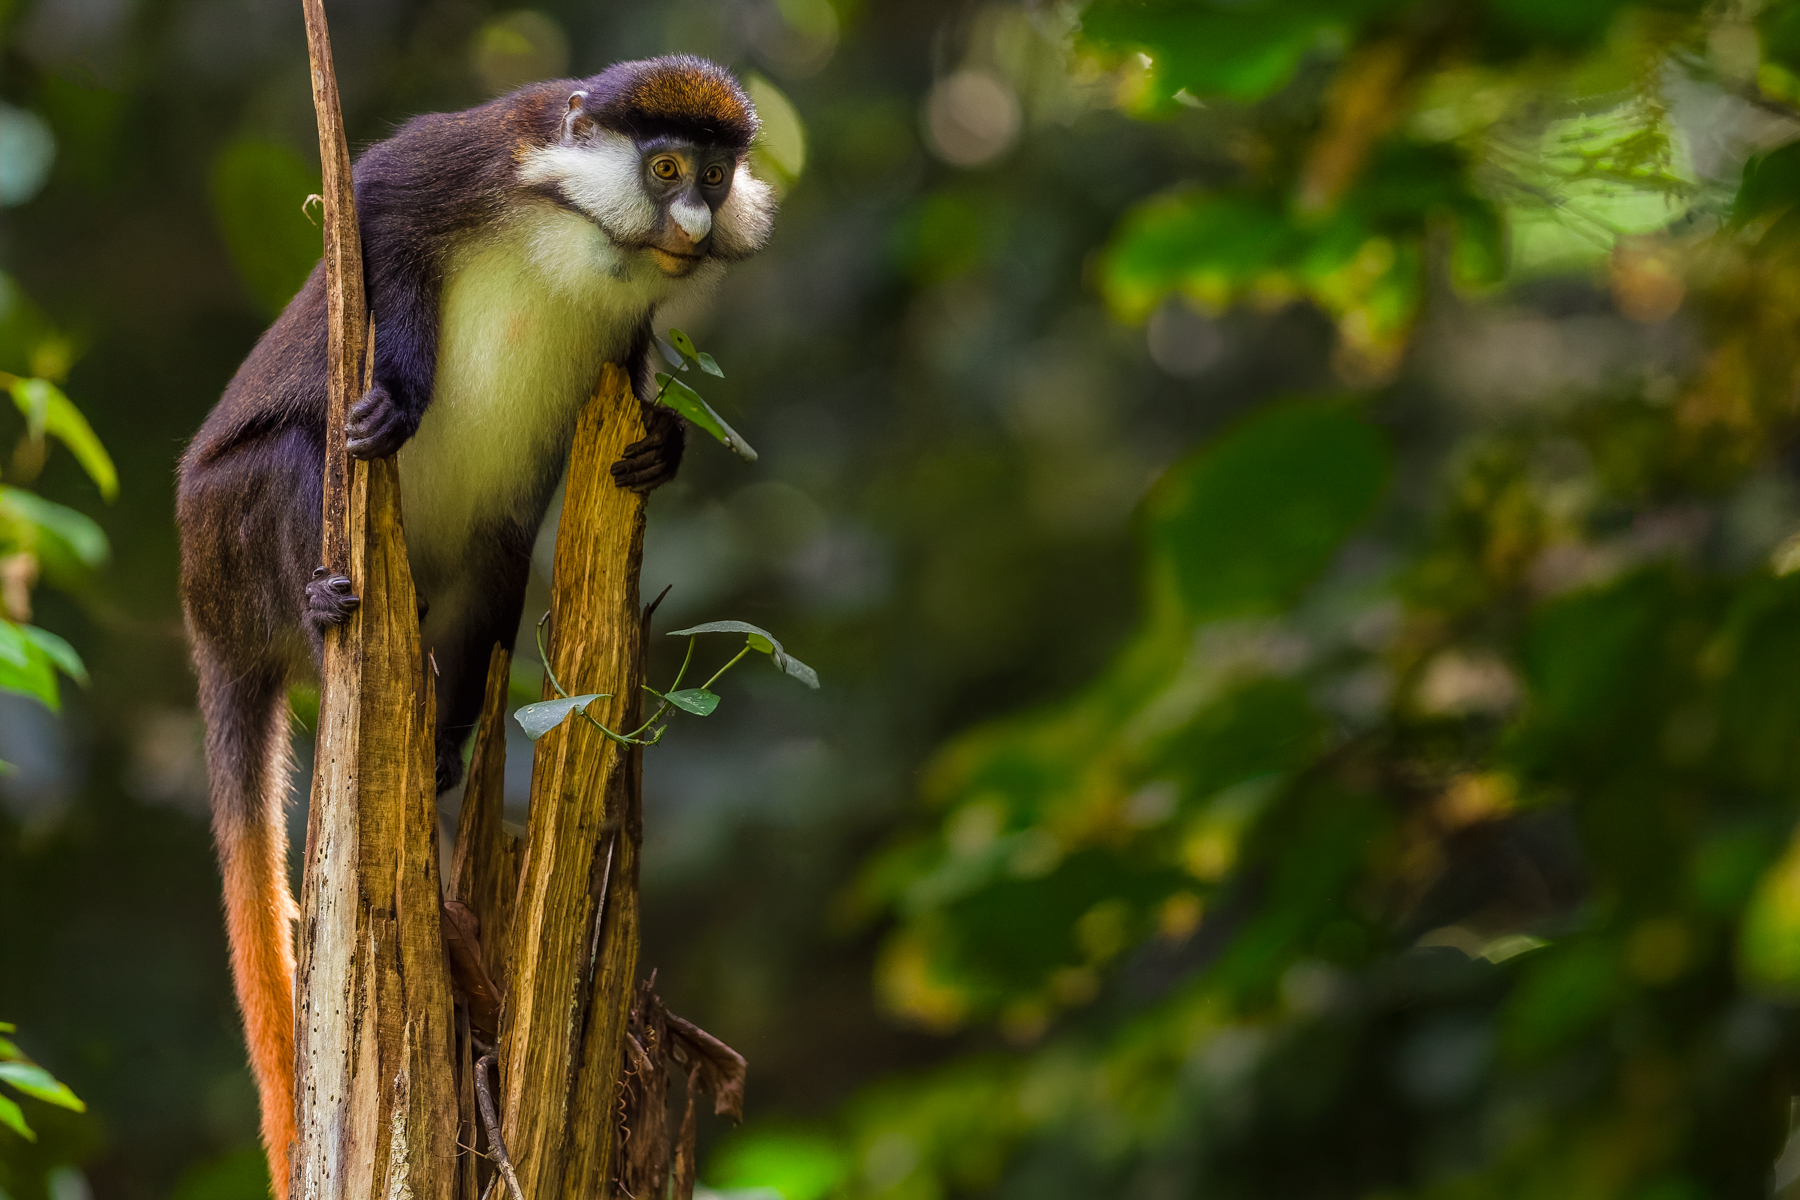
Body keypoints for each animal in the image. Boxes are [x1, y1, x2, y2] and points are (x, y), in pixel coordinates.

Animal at [174, 56, 774, 1190]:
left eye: (715, 176)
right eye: (666, 167)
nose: (691, 217)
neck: (584, 236)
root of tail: (209, 632)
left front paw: (663, 443)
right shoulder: (468, 160)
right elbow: (372, 212)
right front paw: (399, 394)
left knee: (497, 559)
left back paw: (445, 748)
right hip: (227, 540)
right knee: (297, 453)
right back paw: (324, 606)